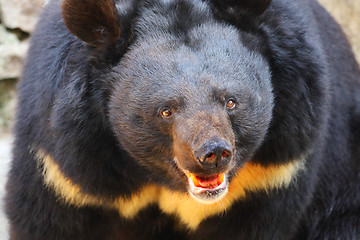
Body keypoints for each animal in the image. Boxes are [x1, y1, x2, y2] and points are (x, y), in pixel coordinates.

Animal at [4, 0, 360, 238]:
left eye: (231, 101)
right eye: (166, 110)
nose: (213, 153)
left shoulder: (274, 171)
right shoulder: (67, 171)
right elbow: (52, 219)